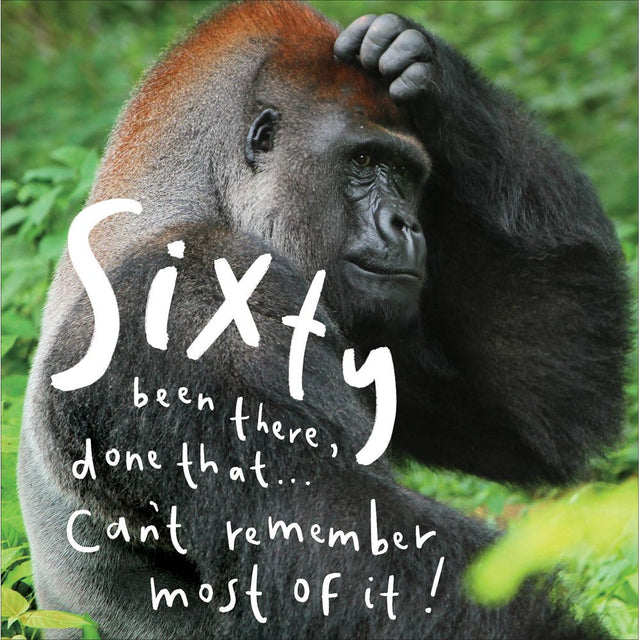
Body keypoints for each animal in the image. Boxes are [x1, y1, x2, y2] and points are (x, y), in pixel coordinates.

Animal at [18, 2, 628, 639]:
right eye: (363, 161)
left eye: (406, 174)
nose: (408, 225)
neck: (190, 199)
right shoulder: (194, 302)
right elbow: (355, 562)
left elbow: (536, 413)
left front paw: (425, 67)